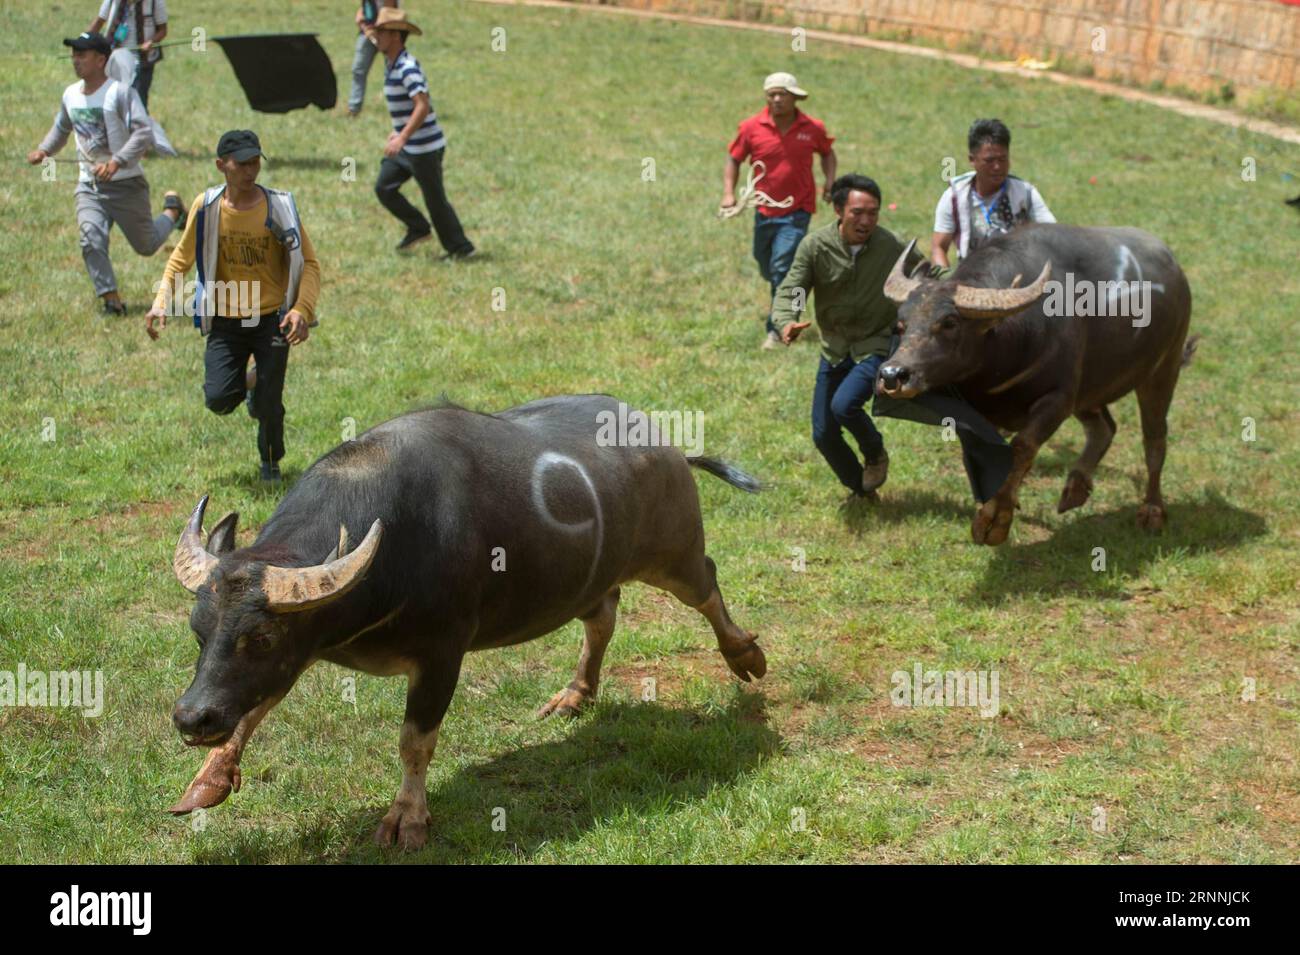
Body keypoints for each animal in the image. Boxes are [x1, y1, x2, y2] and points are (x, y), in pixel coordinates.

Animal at [167, 394, 764, 852]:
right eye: (199, 630)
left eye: (261, 636)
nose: (191, 717)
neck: (391, 549)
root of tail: (669, 447)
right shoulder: (294, 655)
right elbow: (249, 708)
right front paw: (208, 780)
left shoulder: (441, 654)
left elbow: (415, 741)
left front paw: (407, 818)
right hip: (589, 580)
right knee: (603, 616)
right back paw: (575, 694)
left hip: (674, 554)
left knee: (706, 586)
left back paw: (745, 655)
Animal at [878, 224, 1190, 548]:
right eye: (901, 324)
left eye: (950, 322)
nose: (892, 374)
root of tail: (1177, 272)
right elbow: (979, 455)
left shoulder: (1058, 400)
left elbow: (1022, 446)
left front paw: (996, 519)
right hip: (1089, 390)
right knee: (1104, 427)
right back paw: (1075, 488)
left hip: (1163, 368)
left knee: (1154, 439)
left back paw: (1152, 511)